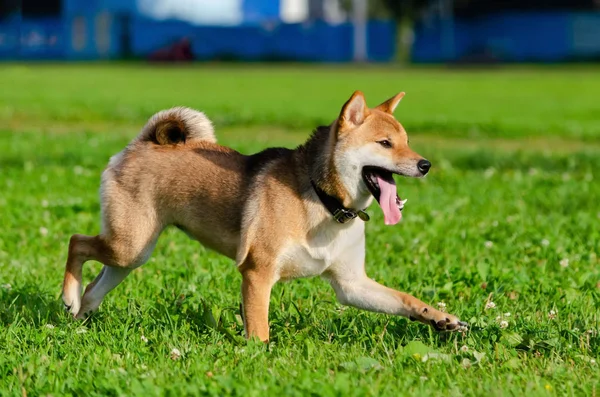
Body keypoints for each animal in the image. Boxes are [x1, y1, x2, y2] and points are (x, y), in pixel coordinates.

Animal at [64, 90, 468, 340]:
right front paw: (259, 358)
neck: (323, 200)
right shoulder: (258, 273)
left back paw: (78, 315)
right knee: (76, 242)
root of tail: (140, 143)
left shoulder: (351, 285)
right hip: (128, 244)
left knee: (95, 285)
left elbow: (404, 299)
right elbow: (259, 330)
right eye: (385, 144)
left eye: (408, 141)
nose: (425, 164)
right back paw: (68, 297)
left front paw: (440, 318)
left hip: (134, 253)